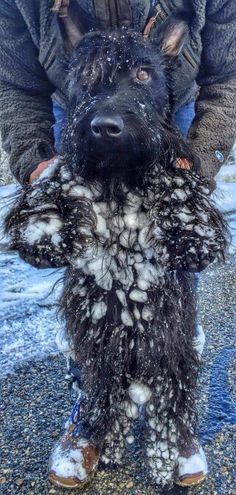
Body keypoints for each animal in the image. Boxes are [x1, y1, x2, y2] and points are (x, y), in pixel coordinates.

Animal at [5, 13, 227, 490]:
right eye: (85, 74)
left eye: (144, 74)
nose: (105, 127)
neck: (119, 183)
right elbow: (51, 192)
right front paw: (48, 225)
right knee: (112, 400)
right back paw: (99, 447)